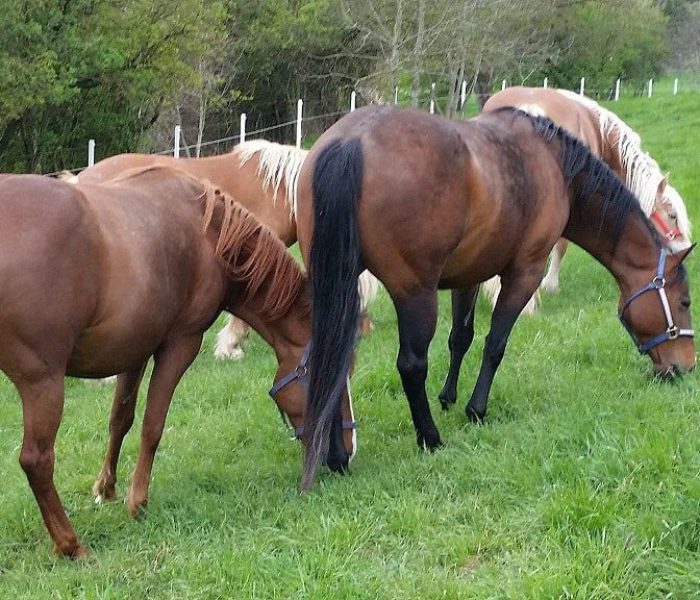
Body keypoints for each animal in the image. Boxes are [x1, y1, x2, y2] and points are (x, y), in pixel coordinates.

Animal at [0, 166, 355, 557]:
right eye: (336, 379)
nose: (346, 455)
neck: (208, 237)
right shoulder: (180, 344)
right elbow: (153, 425)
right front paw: (137, 503)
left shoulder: (134, 350)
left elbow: (120, 419)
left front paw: (106, 488)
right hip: (43, 382)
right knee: (37, 460)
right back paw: (70, 544)